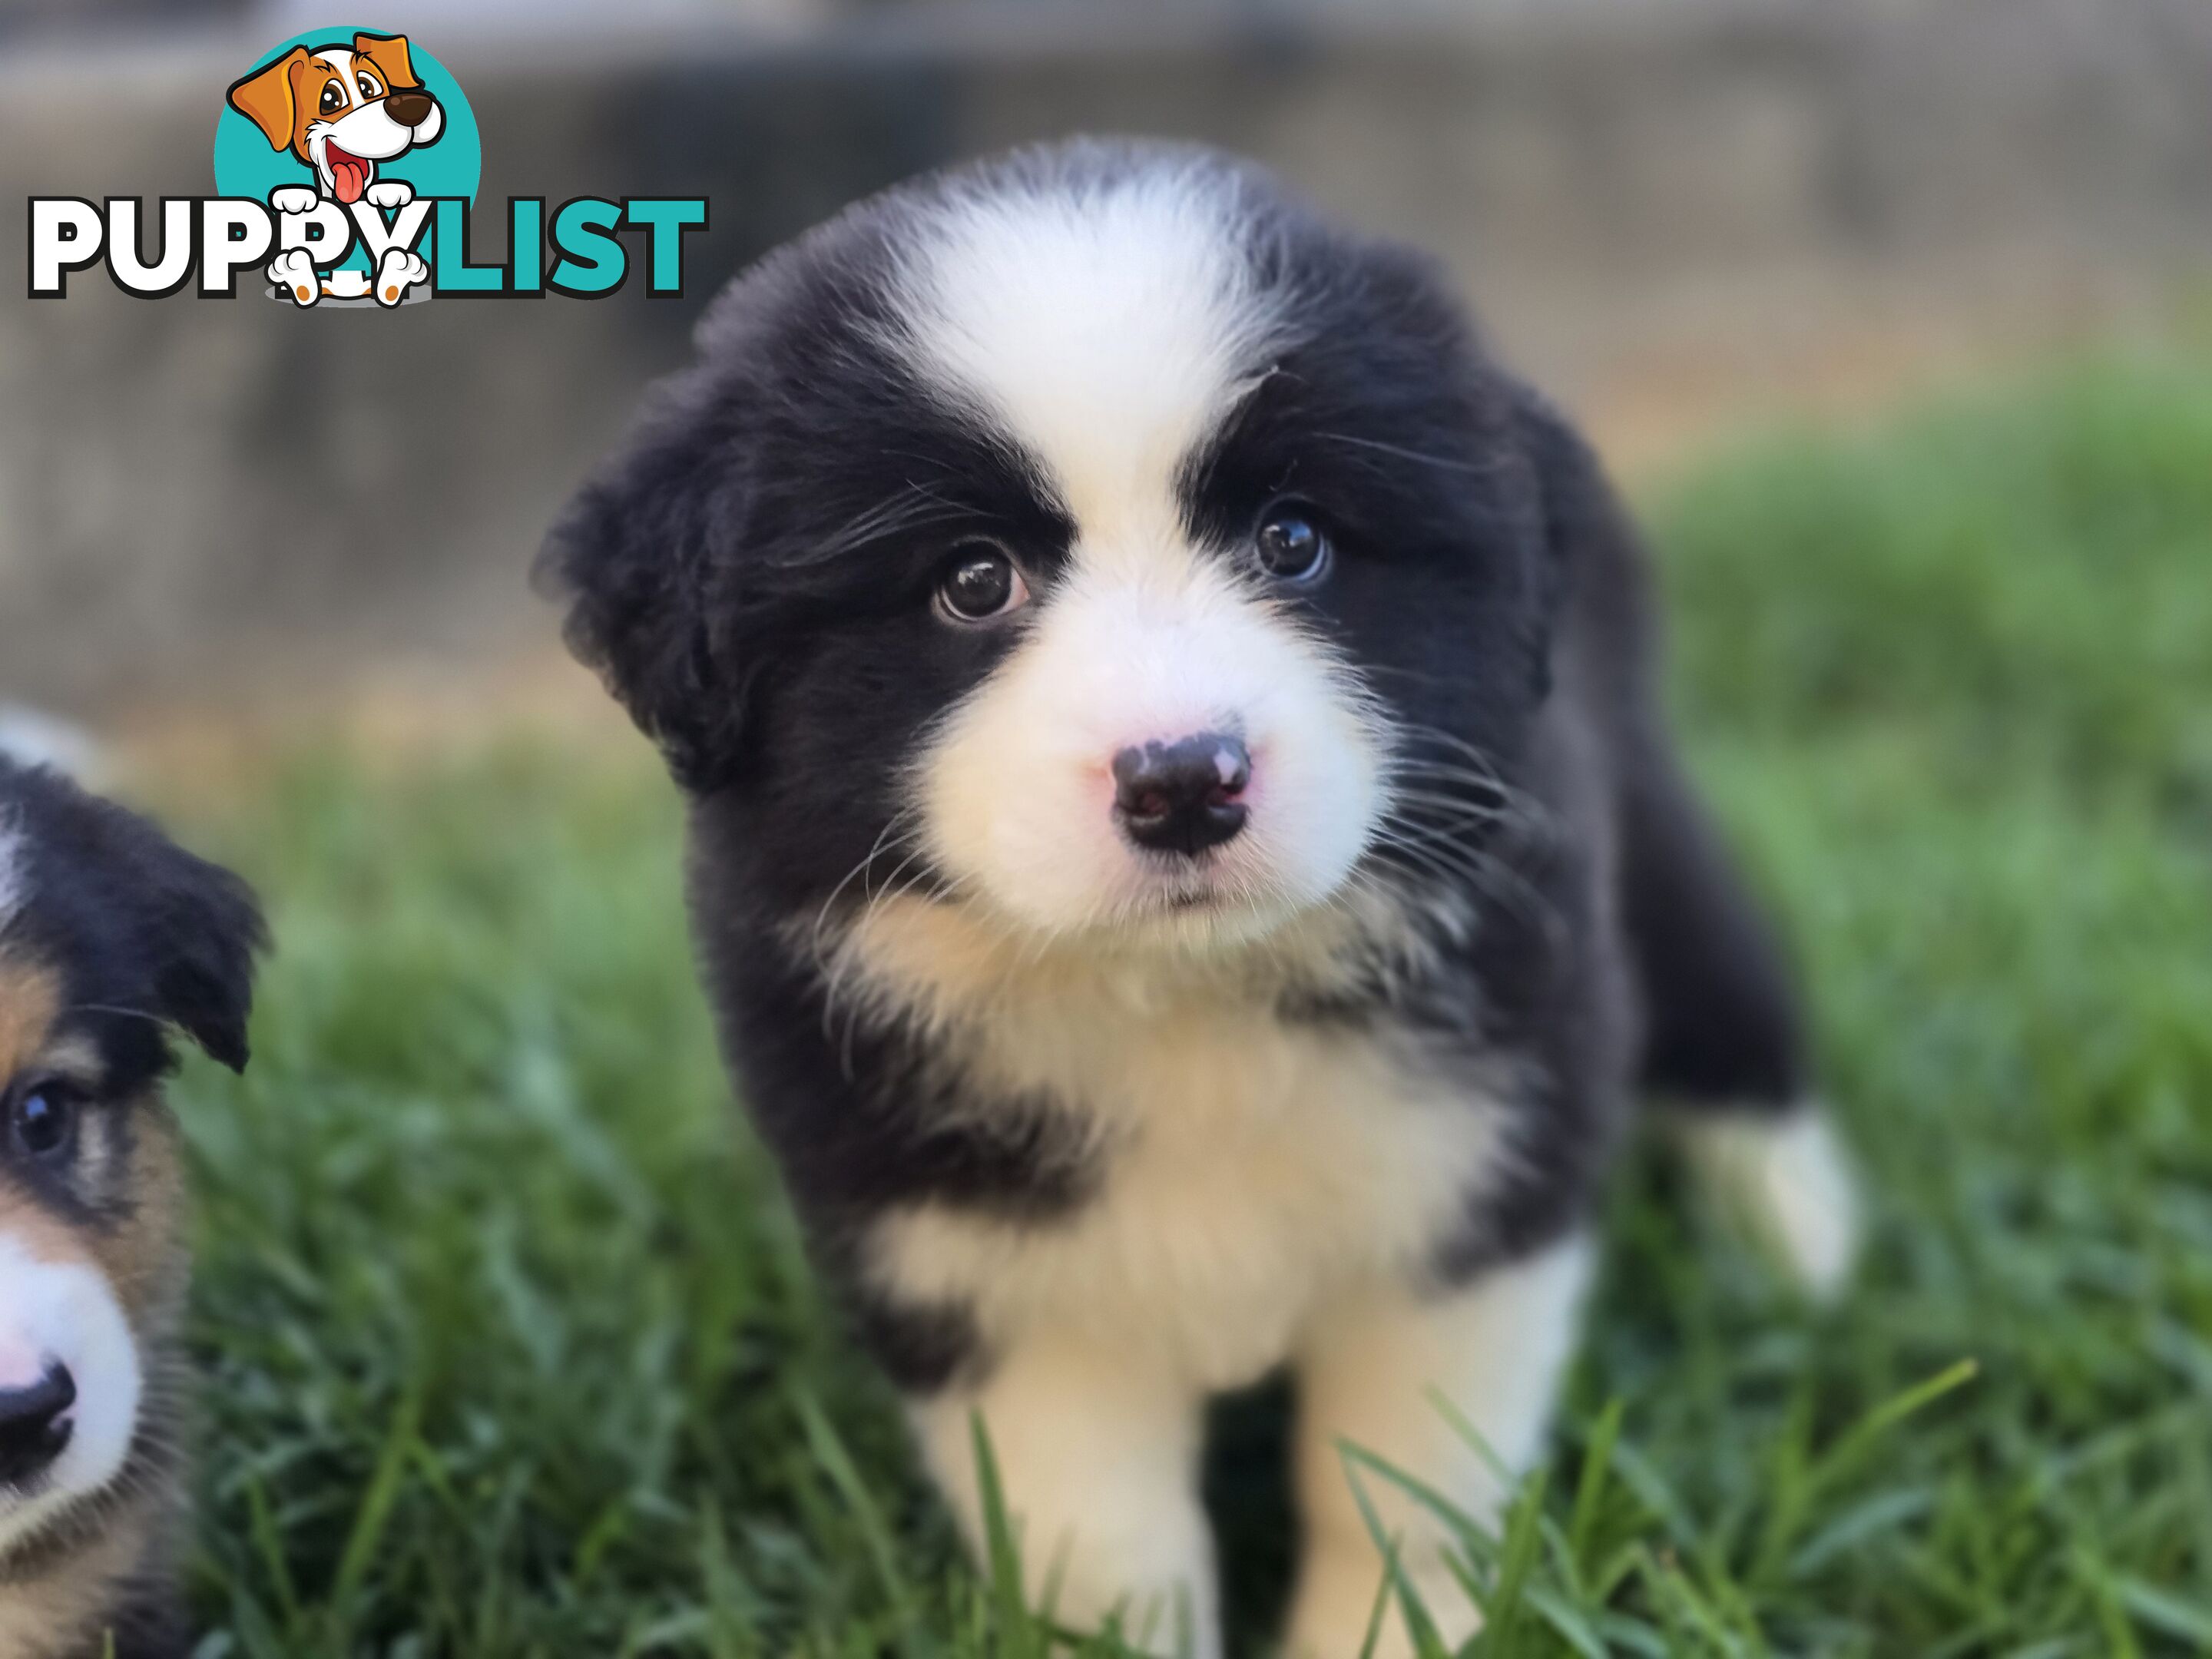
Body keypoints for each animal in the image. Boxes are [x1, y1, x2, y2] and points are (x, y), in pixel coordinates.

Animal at [544, 140, 1858, 1659]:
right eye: (971, 582)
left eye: (1294, 541)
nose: (1182, 782)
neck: (1179, 1003)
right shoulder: (983, 1272)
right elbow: (1104, 1548)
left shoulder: (1476, 1180)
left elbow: (1398, 1487)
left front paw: (1385, 1633)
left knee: (1723, 998)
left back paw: (1802, 1249)